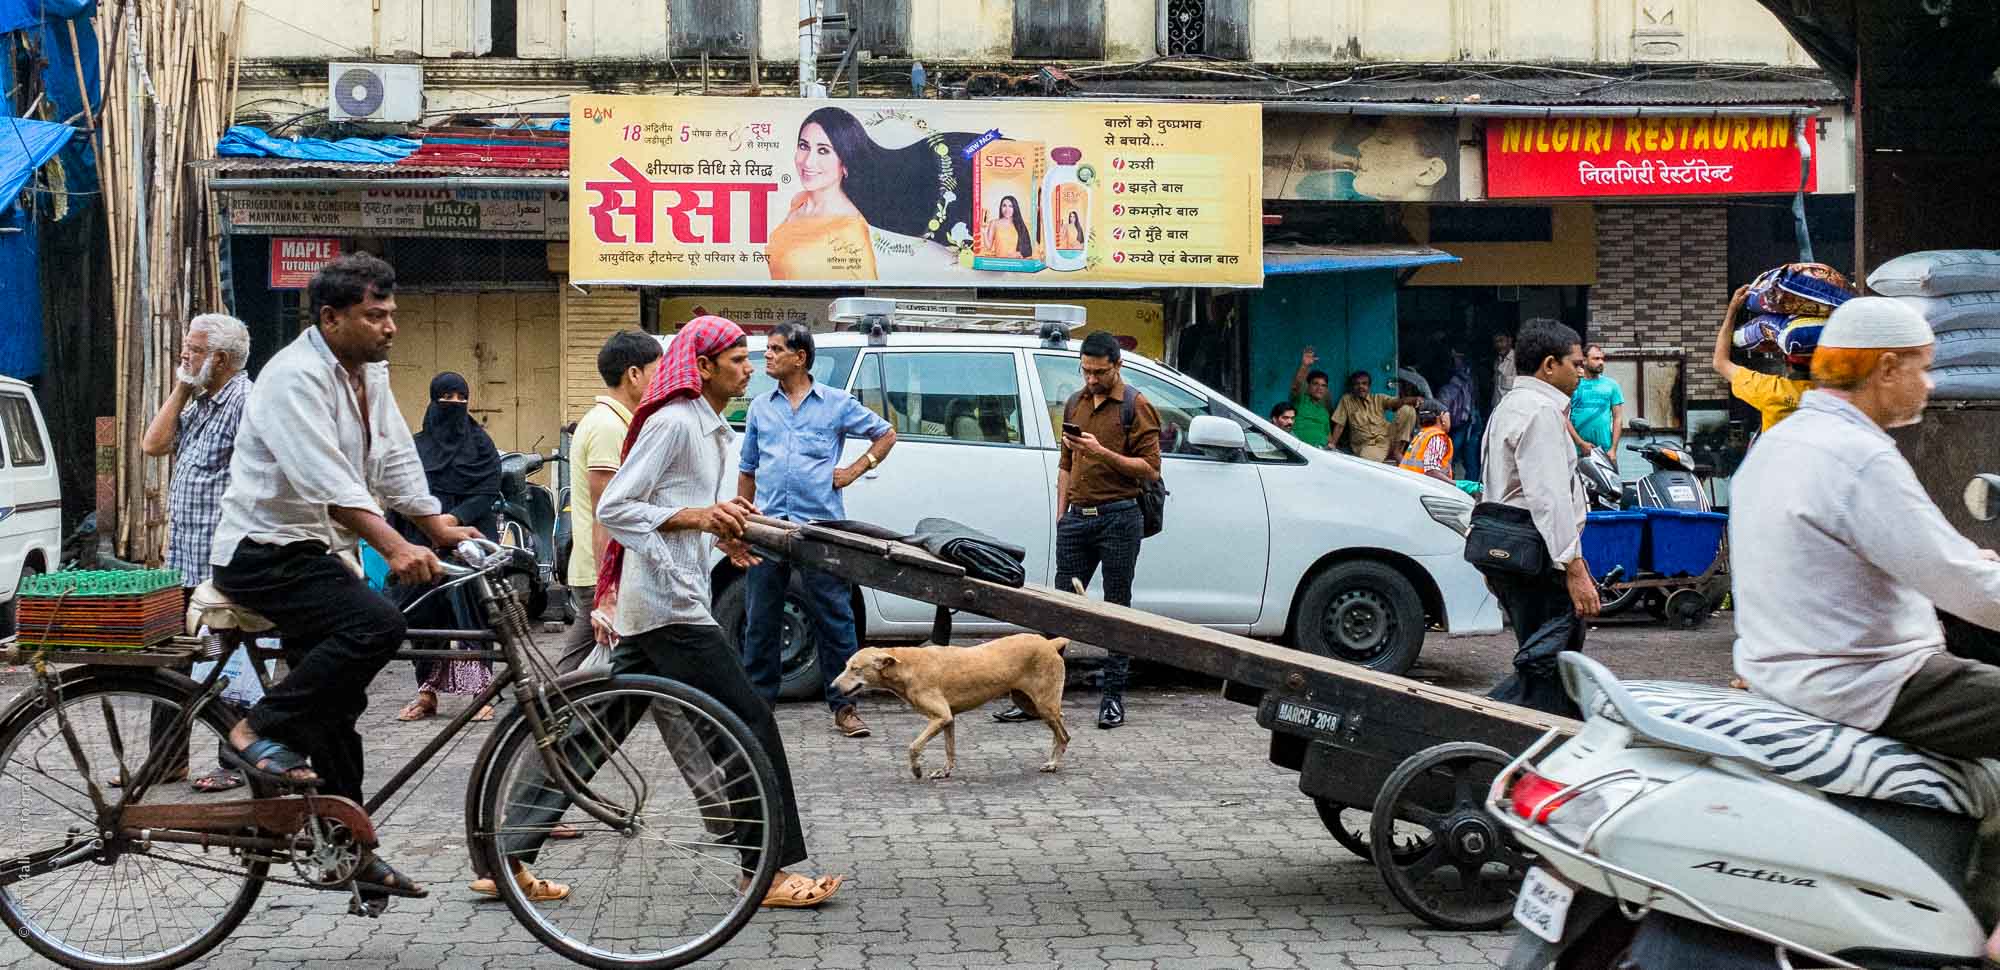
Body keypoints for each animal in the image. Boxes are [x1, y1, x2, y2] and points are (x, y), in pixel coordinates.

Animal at [828, 636, 1072, 780]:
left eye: (855, 669)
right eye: (846, 666)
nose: (832, 686)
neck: (905, 665)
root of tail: (1050, 642)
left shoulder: (940, 717)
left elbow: (913, 747)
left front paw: (917, 770)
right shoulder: (948, 719)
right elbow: (949, 749)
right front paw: (945, 771)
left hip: (1042, 704)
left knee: (1065, 735)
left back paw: (1053, 764)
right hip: (1029, 703)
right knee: (1060, 723)